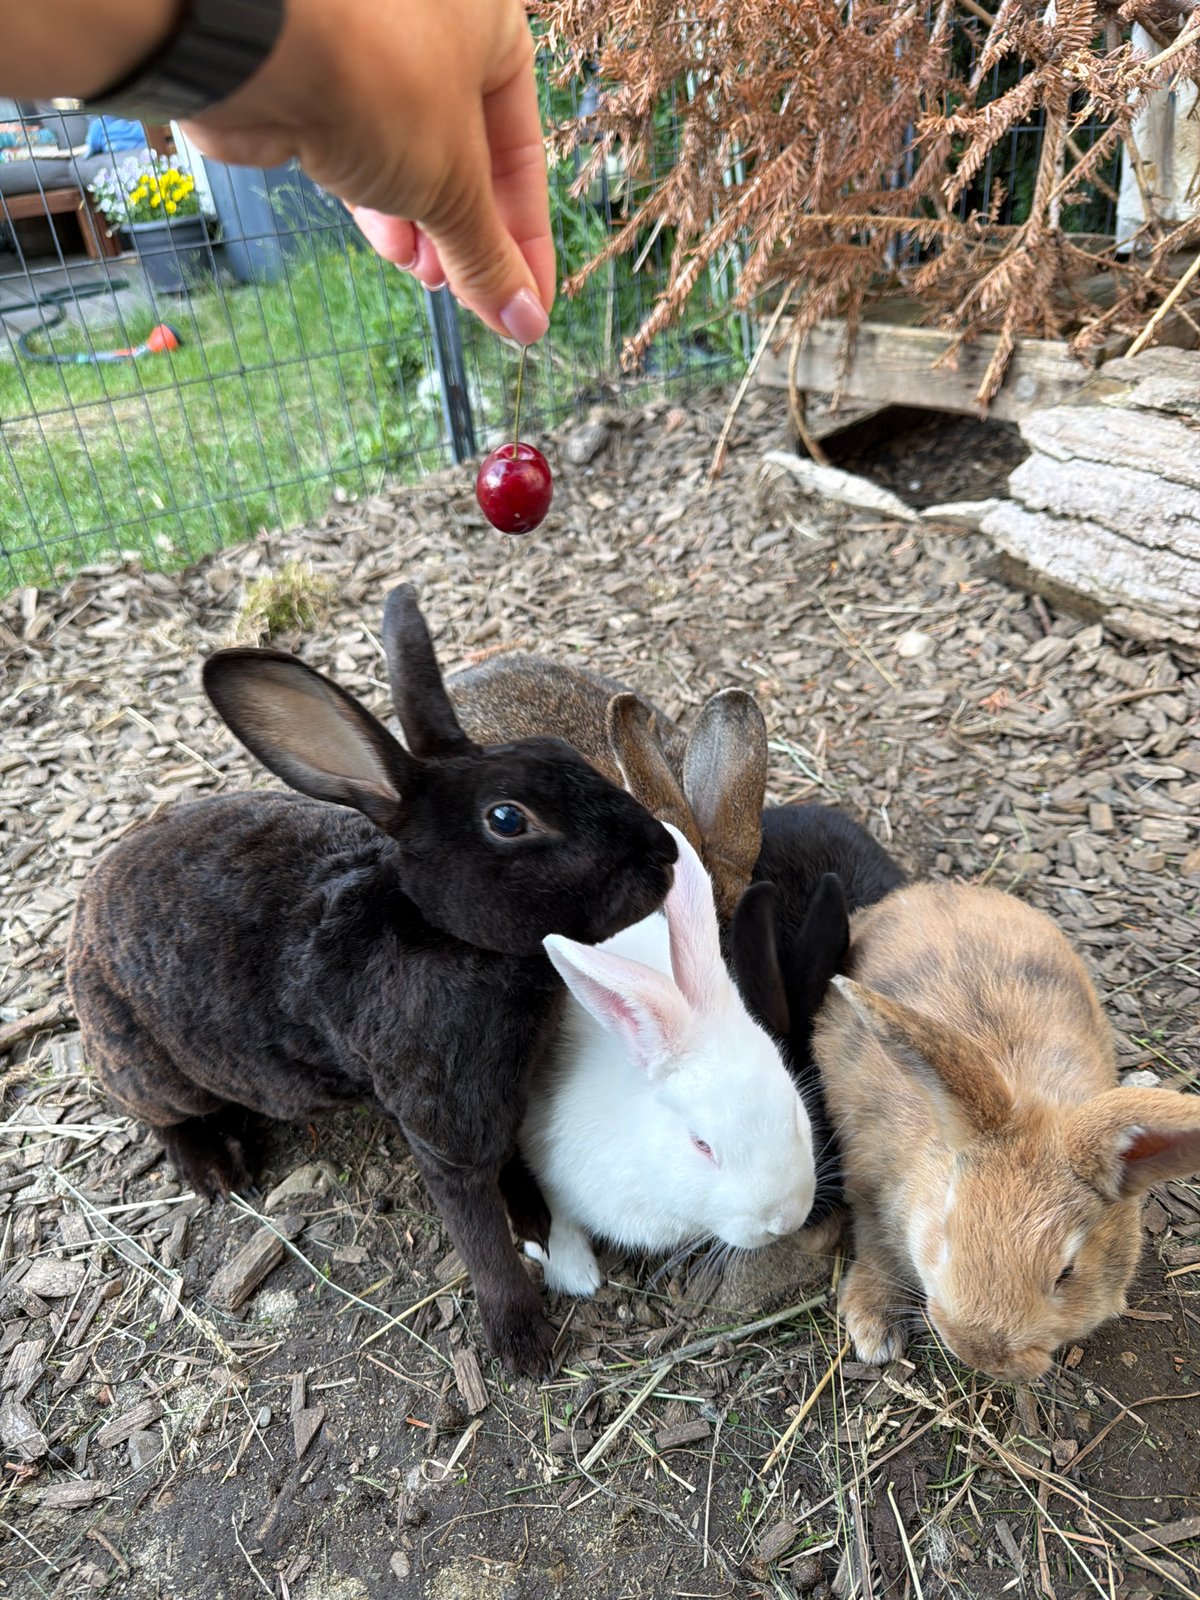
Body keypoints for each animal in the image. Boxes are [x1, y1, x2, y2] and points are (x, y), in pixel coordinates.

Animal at [65, 584, 678, 1376]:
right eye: (508, 819)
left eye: (563, 753)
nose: (664, 853)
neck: (441, 930)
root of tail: (82, 919)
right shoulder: (445, 1135)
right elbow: (479, 1237)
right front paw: (521, 1346)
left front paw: (538, 1219)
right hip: (150, 1065)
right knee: (161, 1114)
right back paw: (215, 1171)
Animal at [812, 880, 1200, 1382]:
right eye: (946, 1235)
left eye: (1066, 1273)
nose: (979, 1353)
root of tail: (935, 889)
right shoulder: (868, 1182)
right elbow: (875, 1244)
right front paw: (874, 1329)